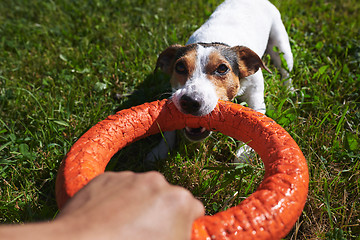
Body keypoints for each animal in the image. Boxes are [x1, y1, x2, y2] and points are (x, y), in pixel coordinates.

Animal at [146, 0, 292, 164]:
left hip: (281, 46)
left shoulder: (257, 100)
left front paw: (242, 157)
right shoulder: (174, 94)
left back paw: (290, 89)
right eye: (180, 67)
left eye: (222, 68)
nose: (189, 101)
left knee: (286, 70)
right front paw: (160, 150)